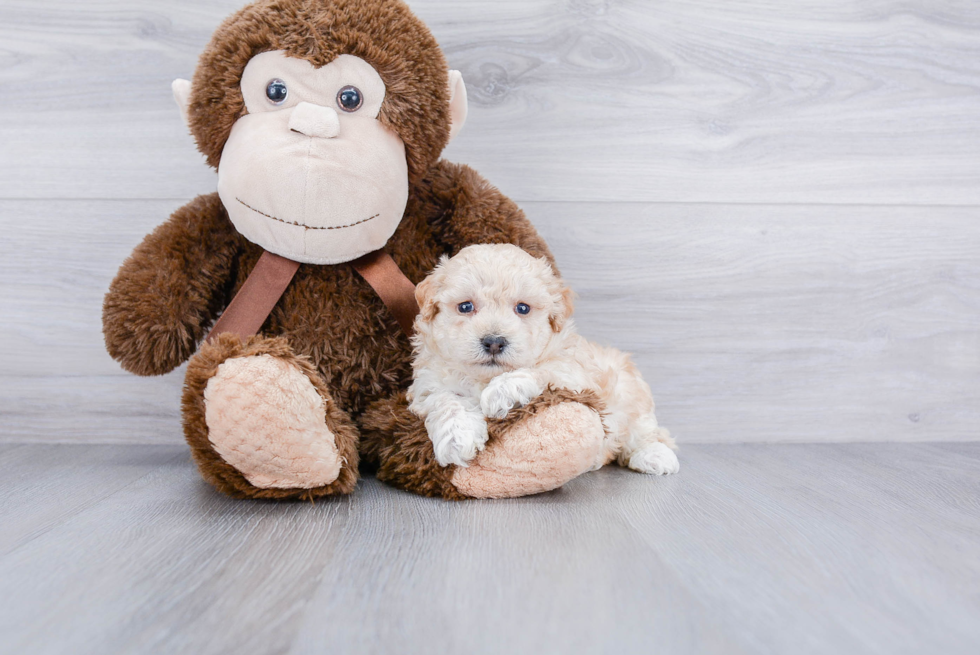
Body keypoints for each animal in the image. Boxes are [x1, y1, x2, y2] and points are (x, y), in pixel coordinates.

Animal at [410, 242, 676, 476]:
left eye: (523, 308)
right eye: (465, 306)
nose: (494, 341)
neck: (484, 378)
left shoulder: (576, 373)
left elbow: (542, 369)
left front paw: (501, 391)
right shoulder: (428, 382)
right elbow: (444, 399)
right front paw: (456, 437)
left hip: (632, 398)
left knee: (648, 433)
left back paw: (654, 456)